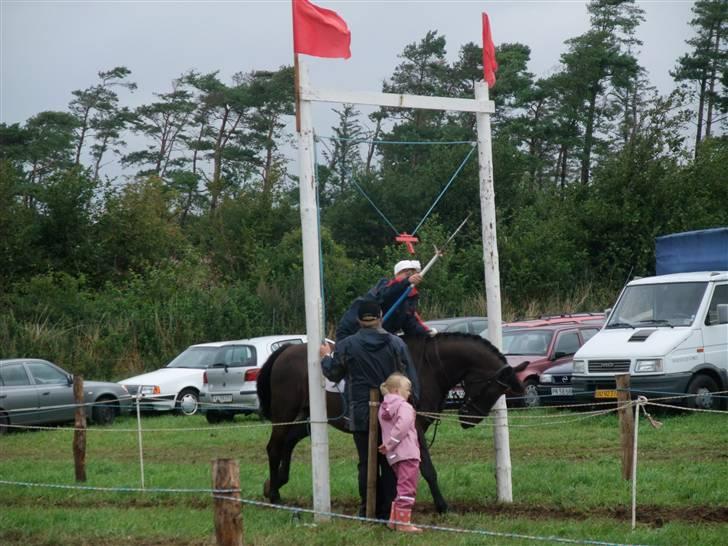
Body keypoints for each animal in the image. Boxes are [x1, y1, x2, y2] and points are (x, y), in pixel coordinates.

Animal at [255, 330, 524, 512]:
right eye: (492, 388)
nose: (469, 419)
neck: (429, 367)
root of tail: (285, 350)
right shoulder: (414, 425)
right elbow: (427, 467)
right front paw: (442, 505)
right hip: (285, 413)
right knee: (274, 447)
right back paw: (275, 495)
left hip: (307, 417)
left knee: (288, 442)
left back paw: (274, 484)